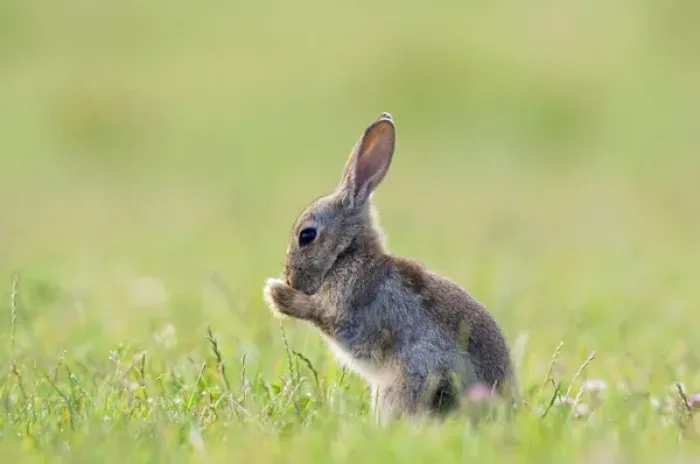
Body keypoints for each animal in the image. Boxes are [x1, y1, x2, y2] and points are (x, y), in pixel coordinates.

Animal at [263, 112, 517, 424]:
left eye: (307, 236)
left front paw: (276, 294)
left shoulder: (351, 312)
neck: (348, 256)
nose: (290, 279)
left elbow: (322, 315)